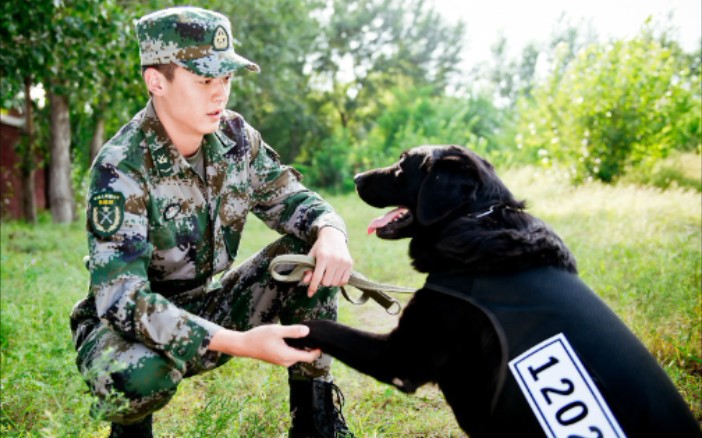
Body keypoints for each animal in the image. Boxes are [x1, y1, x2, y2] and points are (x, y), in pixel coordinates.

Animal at [288, 145, 700, 436]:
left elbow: (321, 327)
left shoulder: (402, 357)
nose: (356, 177)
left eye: (403, 164)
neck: (475, 220)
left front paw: (283, 335)